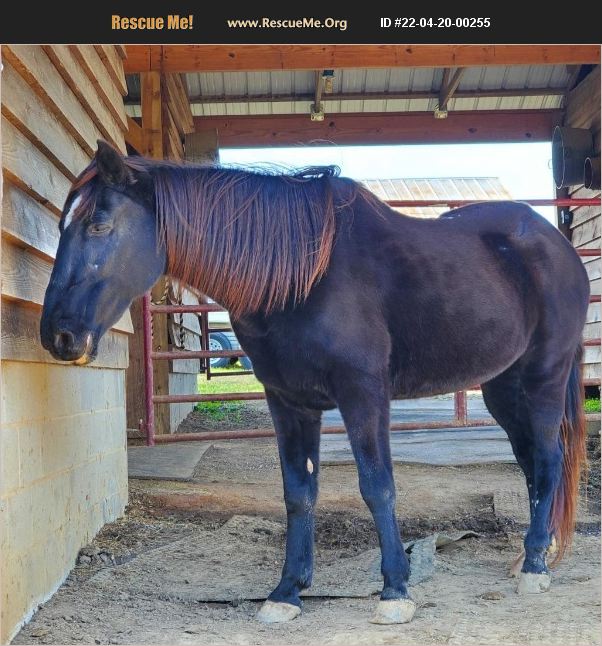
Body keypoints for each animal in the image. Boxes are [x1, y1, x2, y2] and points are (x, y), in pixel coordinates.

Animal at [41, 141, 589, 625]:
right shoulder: (289, 402)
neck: (303, 276)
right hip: (502, 388)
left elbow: (377, 486)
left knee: (547, 458)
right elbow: (298, 492)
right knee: (531, 464)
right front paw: (287, 592)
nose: (58, 335)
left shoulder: (363, 394)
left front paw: (395, 590)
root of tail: (558, 246)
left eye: (100, 224)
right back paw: (531, 555)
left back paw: (535, 566)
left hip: (543, 376)